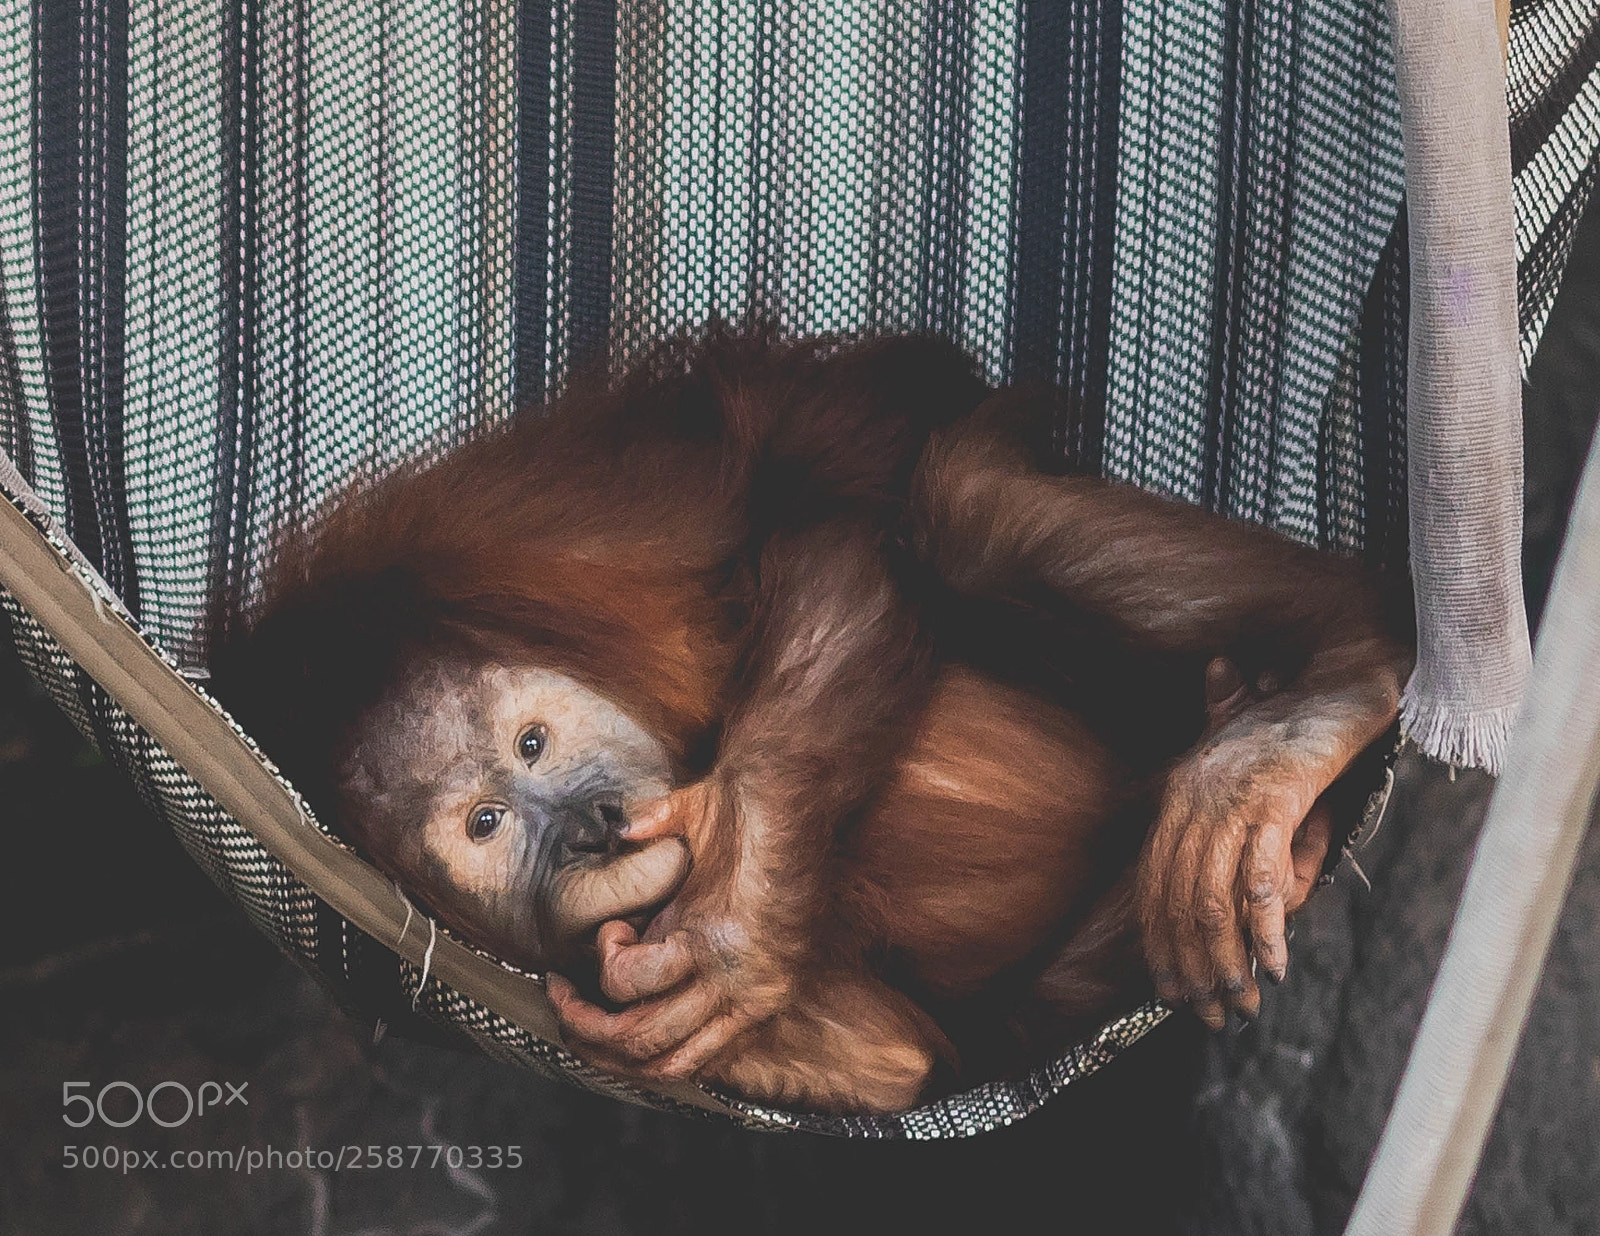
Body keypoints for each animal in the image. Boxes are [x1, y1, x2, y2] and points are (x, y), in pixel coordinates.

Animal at [211, 330, 1411, 1115]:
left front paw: (733, 925)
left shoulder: (545, 536)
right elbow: (895, 1061)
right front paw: (759, 1039)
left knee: (959, 505)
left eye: (533, 744)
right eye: (487, 827)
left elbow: (821, 519)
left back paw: (1316, 704)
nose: (591, 826)